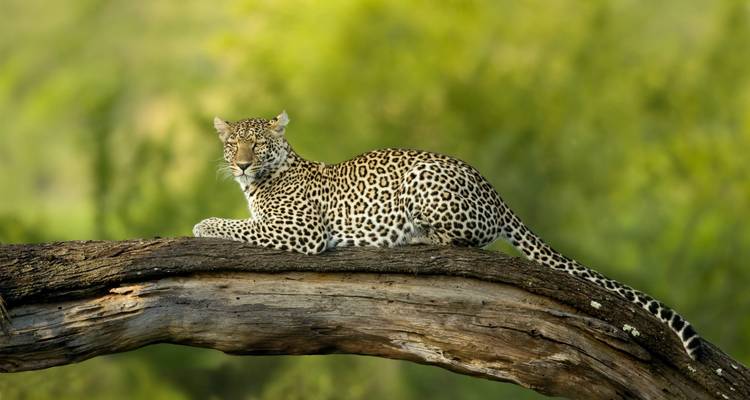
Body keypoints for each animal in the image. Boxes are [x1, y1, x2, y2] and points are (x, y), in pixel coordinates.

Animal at [193, 111, 702, 360]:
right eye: (232, 143)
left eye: (258, 144)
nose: (241, 163)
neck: (257, 182)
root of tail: (493, 190)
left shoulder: (299, 230)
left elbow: (230, 224)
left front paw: (201, 224)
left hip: (424, 182)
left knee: (465, 240)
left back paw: (414, 239)